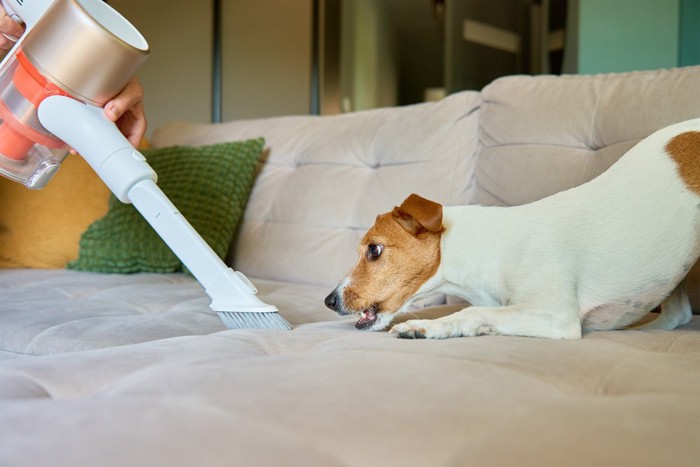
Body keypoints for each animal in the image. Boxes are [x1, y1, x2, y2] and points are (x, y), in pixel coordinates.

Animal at [324, 119, 700, 340]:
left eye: (374, 250)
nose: (329, 300)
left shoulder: (556, 314)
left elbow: (473, 311)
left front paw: (425, 325)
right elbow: (482, 315)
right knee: (677, 315)